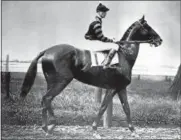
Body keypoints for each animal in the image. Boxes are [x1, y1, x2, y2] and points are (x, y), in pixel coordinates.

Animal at [19, 15, 163, 133]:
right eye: (148, 27)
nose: (159, 40)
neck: (124, 57)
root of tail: (47, 50)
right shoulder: (112, 88)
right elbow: (103, 107)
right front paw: (94, 128)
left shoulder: (121, 88)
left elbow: (126, 108)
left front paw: (133, 130)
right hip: (62, 81)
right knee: (47, 99)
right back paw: (52, 125)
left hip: (51, 82)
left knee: (45, 101)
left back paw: (46, 127)